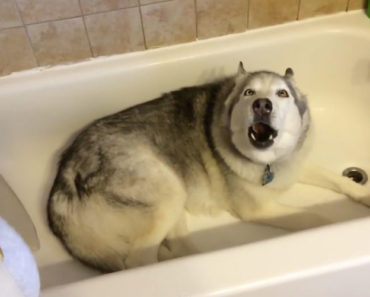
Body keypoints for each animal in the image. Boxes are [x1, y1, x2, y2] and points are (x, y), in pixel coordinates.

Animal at [47, 63, 370, 272]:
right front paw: (333, 227)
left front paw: (363, 195)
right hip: (167, 192)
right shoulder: (256, 210)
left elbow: (339, 180)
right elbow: (314, 216)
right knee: (138, 261)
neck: (268, 164)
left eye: (282, 94)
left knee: (176, 248)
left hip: (173, 198)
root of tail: (65, 177)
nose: (262, 105)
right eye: (249, 93)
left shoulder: (296, 165)